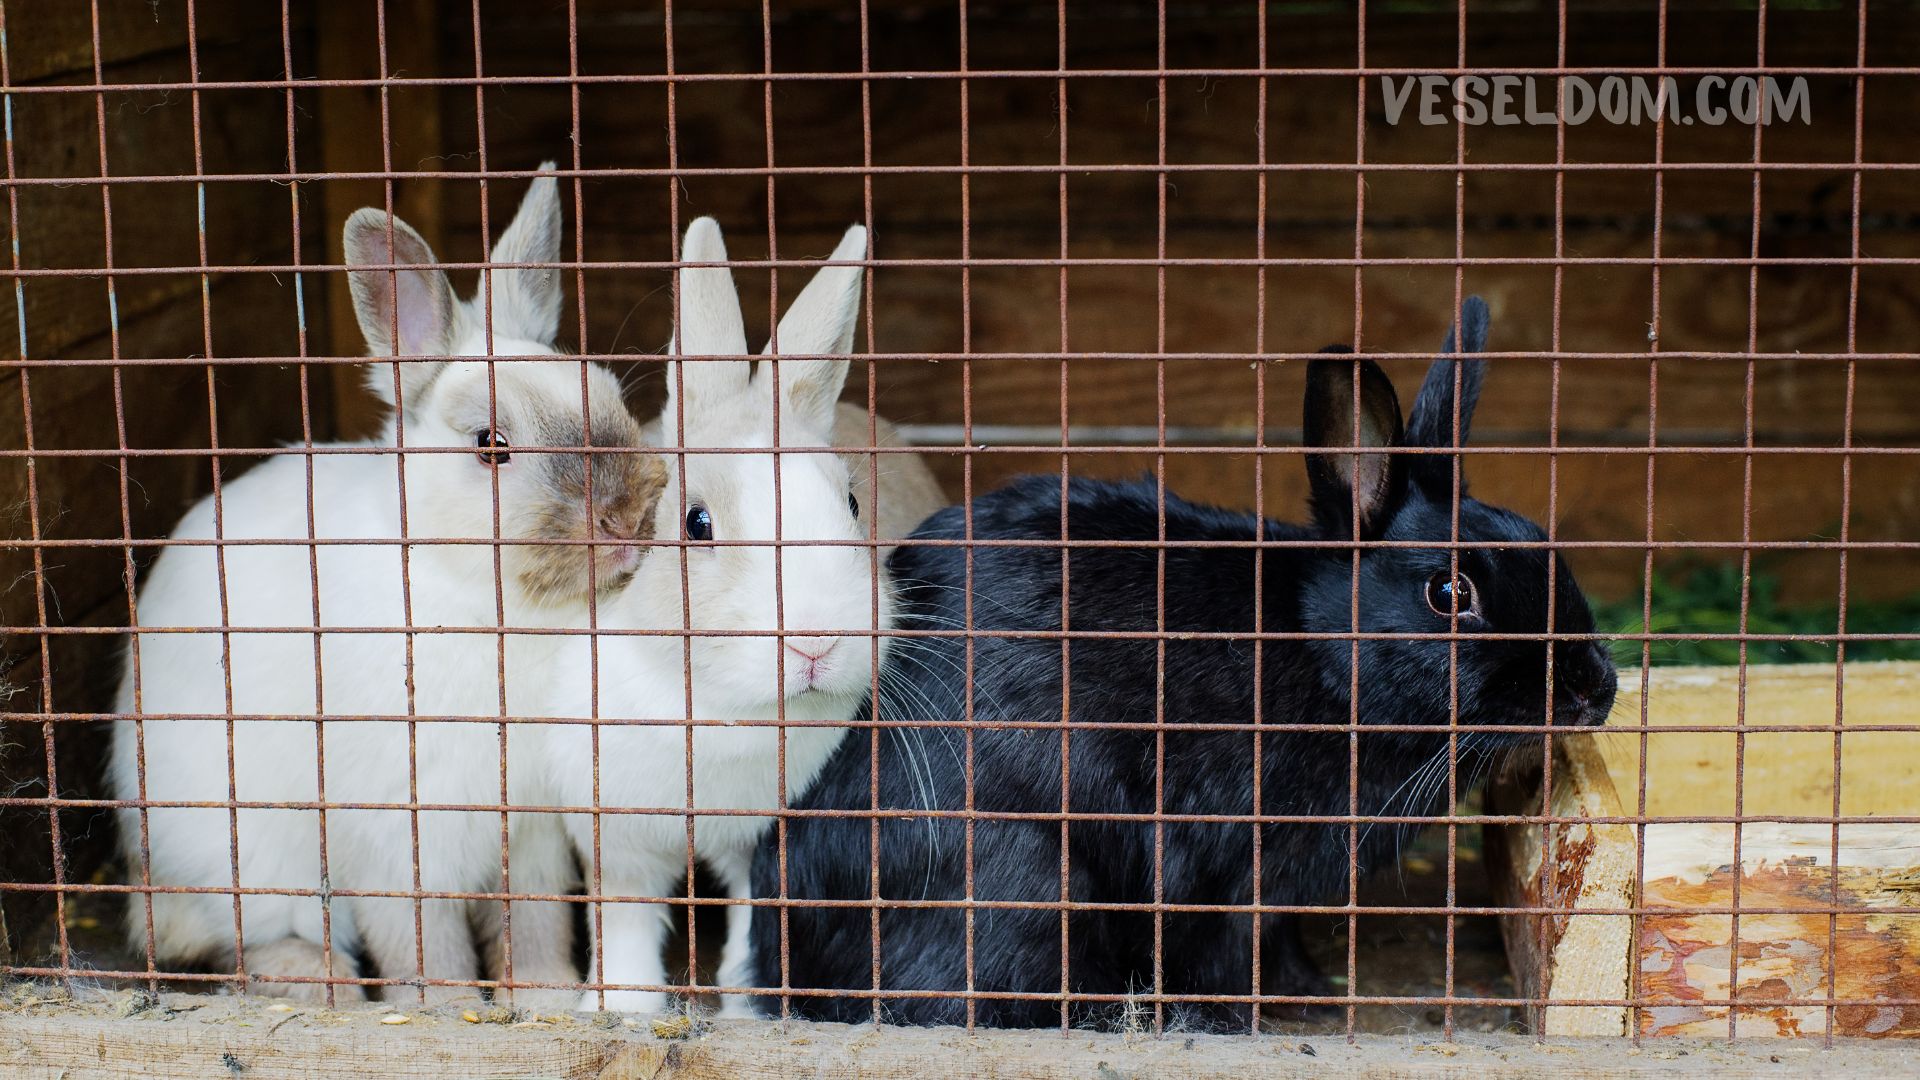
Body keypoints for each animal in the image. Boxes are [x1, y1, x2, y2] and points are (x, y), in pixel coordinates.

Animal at [108, 164, 667, 1008]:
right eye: (491, 446)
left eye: (607, 392)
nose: (628, 517)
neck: (489, 602)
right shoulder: (396, 831)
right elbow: (419, 936)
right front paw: (444, 1010)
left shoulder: (531, 826)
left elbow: (533, 918)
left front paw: (543, 997)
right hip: (245, 856)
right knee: (217, 937)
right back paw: (321, 981)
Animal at [513, 216, 901, 1017]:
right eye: (696, 523)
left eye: (852, 503)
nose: (817, 642)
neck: (711, 705)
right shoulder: (615, 834)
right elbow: (626, 923)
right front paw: (622, 1007)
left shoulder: (758, 839)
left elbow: (752, 920)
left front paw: (747, 1006)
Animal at [746, 296, 1620, 1031]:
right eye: (1448, 592)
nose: (1592, 687)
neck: (1318, 650)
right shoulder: (1224, 867)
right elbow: (1223, 944)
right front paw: (1242, 1016)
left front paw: (1303, 989)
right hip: (1023, 878)